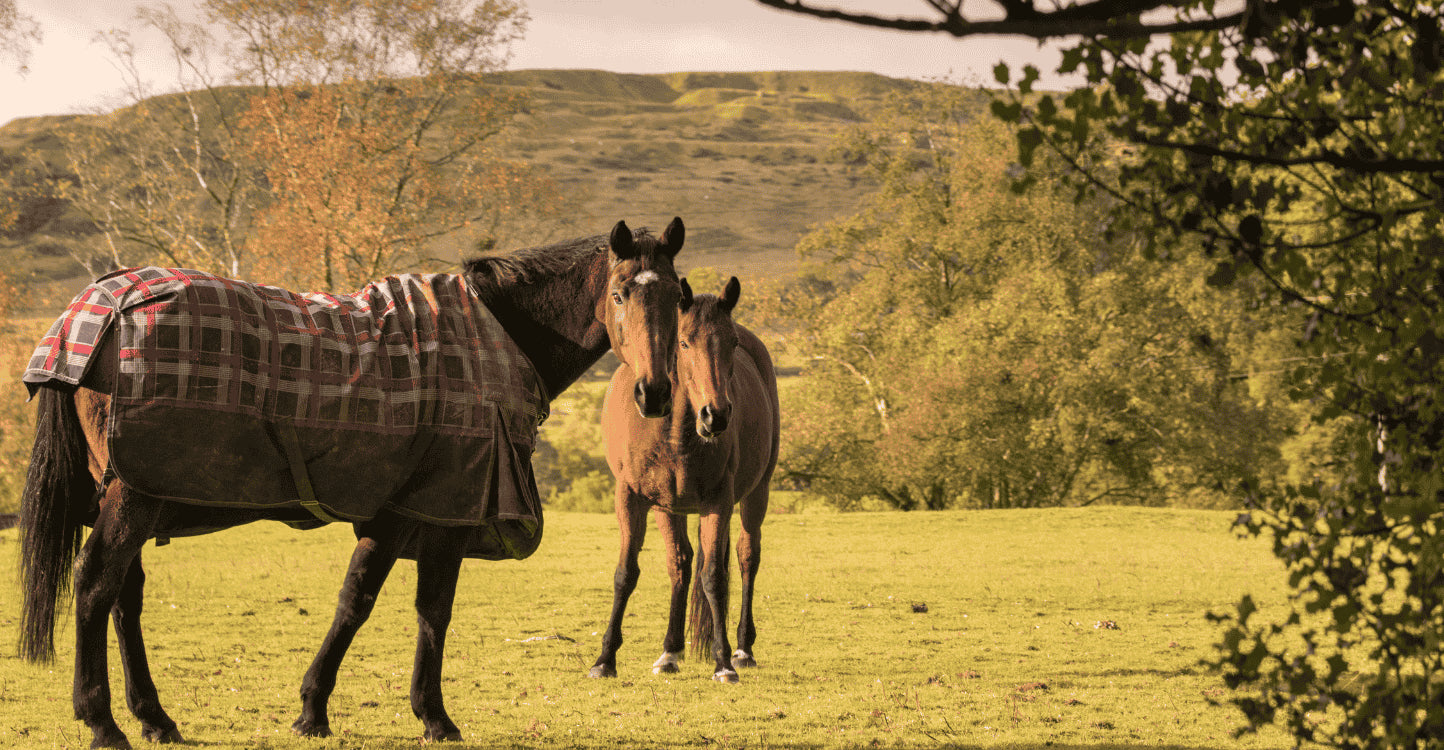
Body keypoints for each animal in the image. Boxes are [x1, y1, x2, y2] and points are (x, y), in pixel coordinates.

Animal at [17, 218, 686, 748]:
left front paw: (334, 708)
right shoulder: (435, 508)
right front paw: (416, 714)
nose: (654, 392)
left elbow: (381, 605)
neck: (495, 336)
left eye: (680, 298)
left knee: (123, 596)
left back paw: (155, 718)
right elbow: (395, 605)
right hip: (135, 495)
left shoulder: (410, 512)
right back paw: (102, 721)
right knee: (95, 584)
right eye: (620, 293)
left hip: (131, 490)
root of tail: (96, 309)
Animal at [588, 276, 780, 683]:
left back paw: (742, 649)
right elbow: (626, 573)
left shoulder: (718, 504)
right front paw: (605, 659)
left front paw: (723, 664)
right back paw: (670, 651)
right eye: (684, 341)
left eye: (732, 343)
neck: (674, 430)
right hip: (667, 508)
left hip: (758, 493)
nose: (716, 415)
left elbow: (714, 578)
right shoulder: (631, 498)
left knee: (746, 557)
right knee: (680, 563)